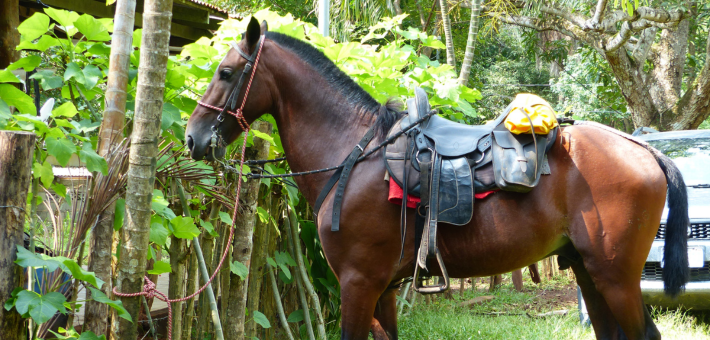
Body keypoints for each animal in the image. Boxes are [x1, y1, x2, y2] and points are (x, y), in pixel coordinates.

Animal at [185, 17, 688, 340]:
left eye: (225, 72)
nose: (193, 136)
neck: (353, 154)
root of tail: (641, 147)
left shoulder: (357, 283)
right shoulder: (383, 288)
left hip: (615, 278)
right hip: (588, 272)